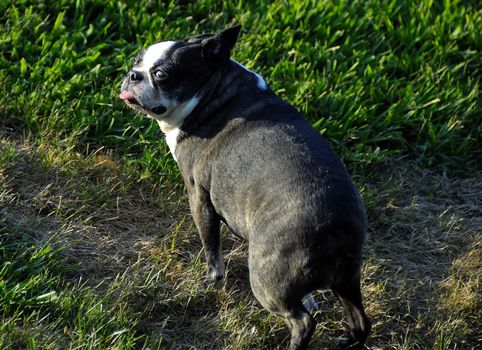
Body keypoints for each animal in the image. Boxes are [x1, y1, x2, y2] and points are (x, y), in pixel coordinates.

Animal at [118, 25, 370, 350]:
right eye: (136, 61)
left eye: (161, 74)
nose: (132, 74)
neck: (215, 93)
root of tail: (335, 226)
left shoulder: (199, 199)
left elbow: (212, 250)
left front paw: (211, 281)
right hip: (347, 278)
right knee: (361, 321)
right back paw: (346, 341)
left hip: (265, 278)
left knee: (302, 322)